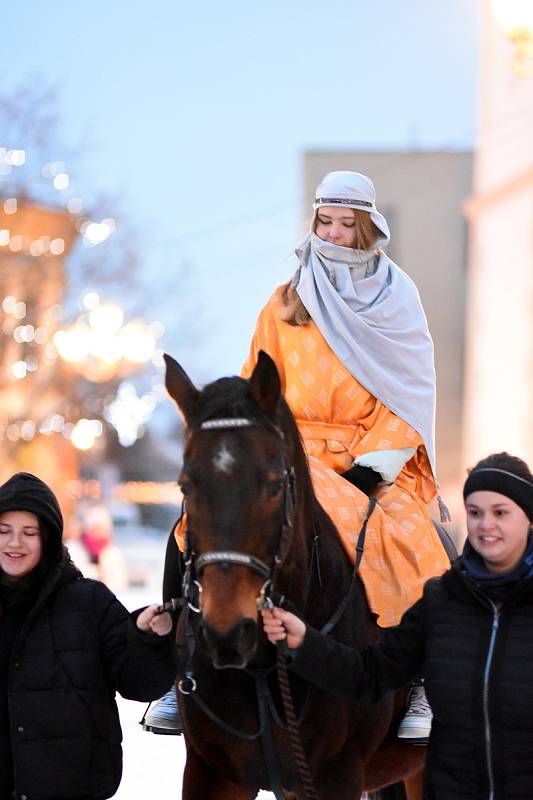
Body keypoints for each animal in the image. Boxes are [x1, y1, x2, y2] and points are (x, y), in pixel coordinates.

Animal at [164, 350, 426, 800]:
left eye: (272, 485)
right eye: (185, 485)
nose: (226, 632)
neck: (260, 666)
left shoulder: (336, 777)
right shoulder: (211, 773)